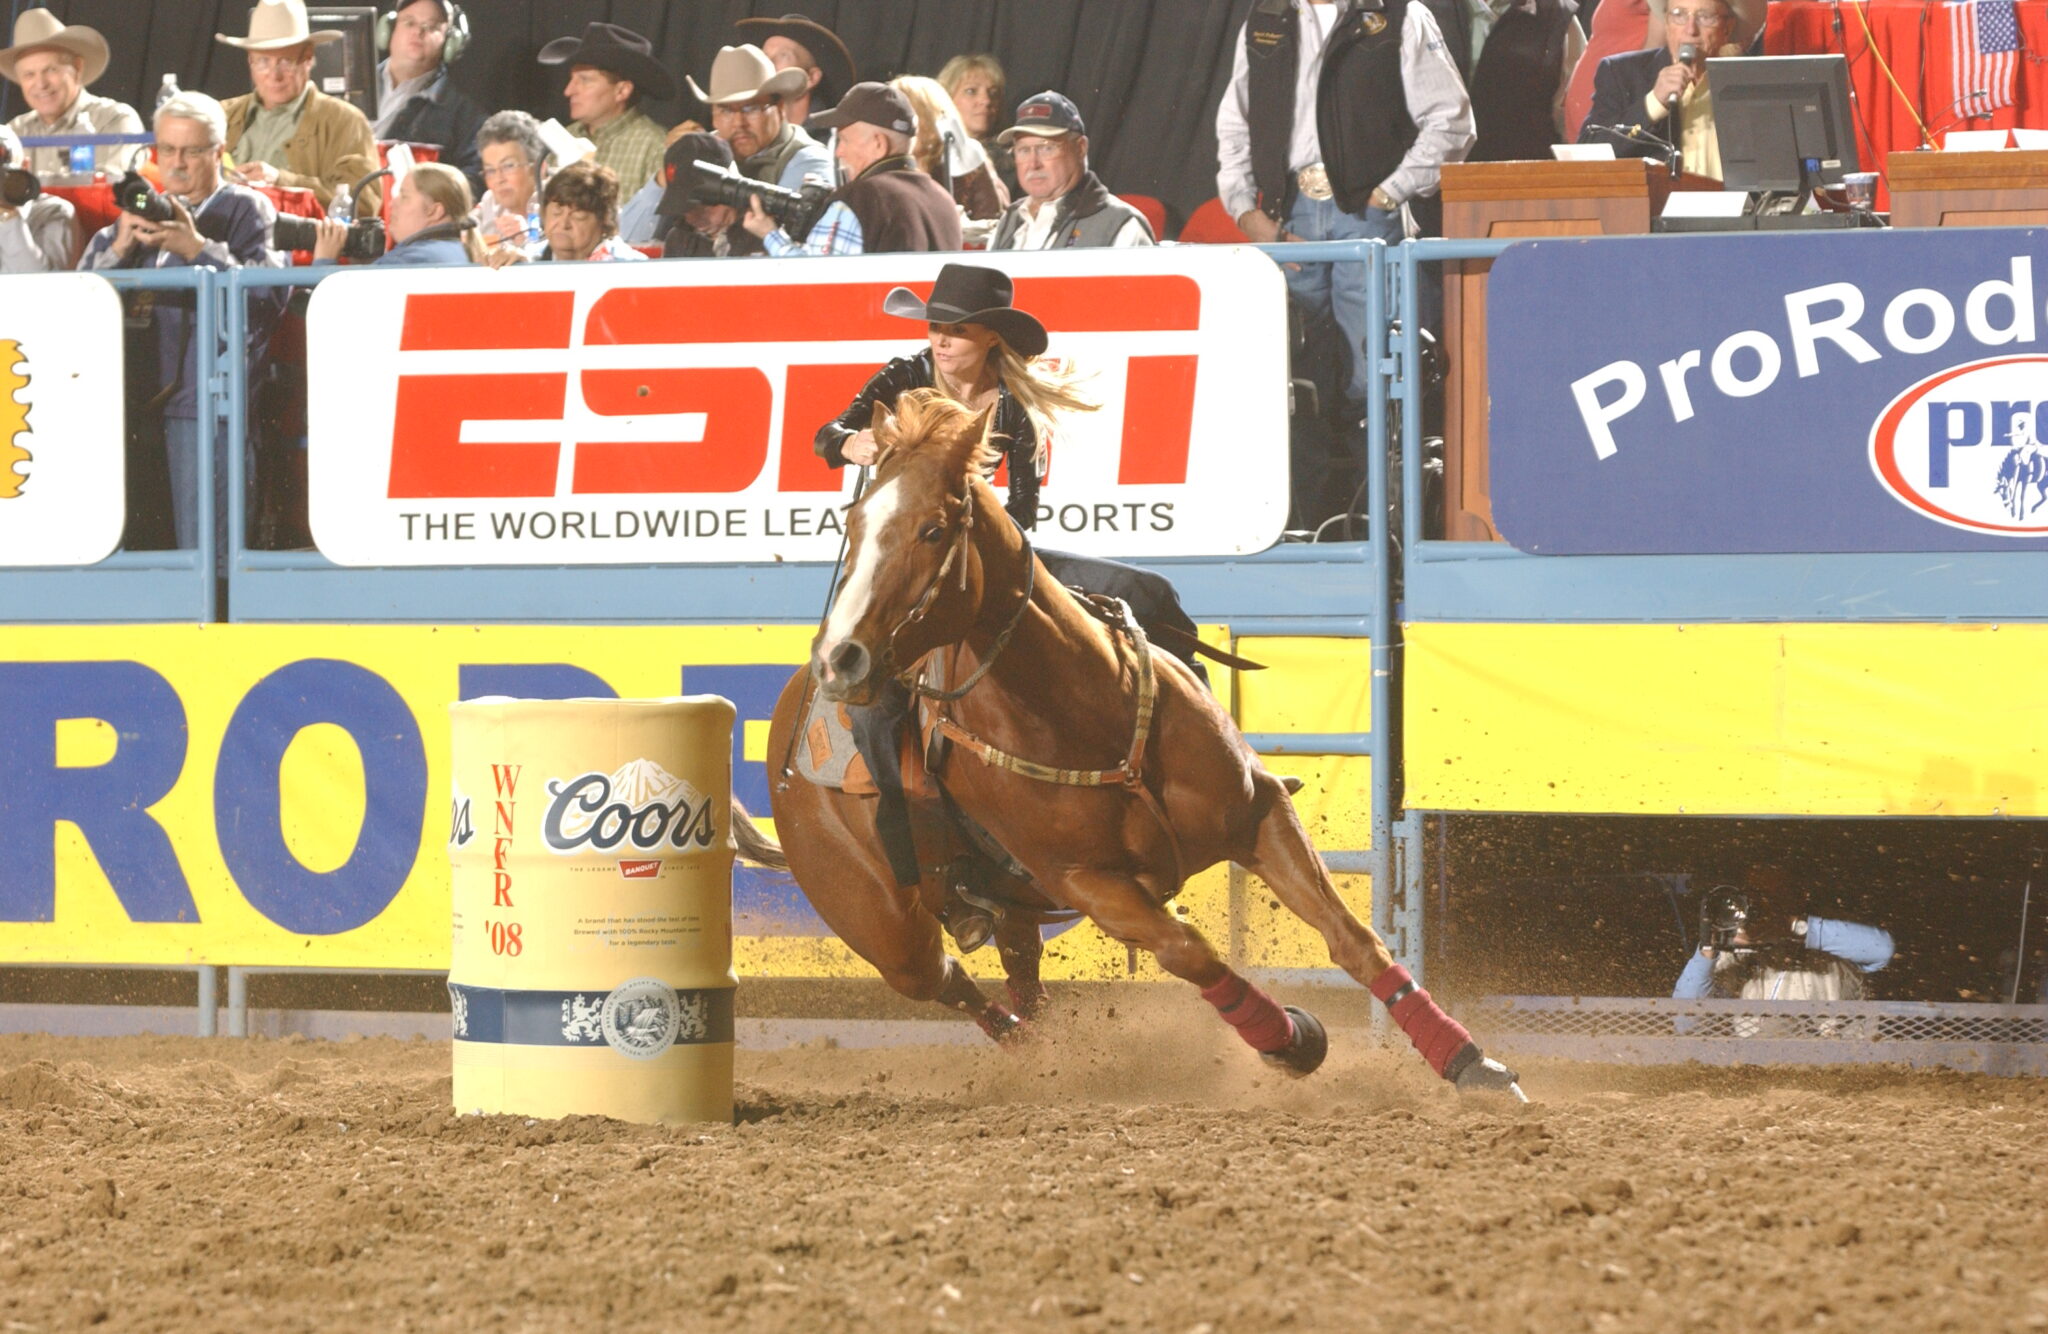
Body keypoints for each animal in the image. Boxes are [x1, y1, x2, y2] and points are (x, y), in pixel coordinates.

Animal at [729, 389, 1522, 1097]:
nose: (842, 658)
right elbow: (1191, 951)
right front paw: (1294, 1039)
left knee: (1021, 981)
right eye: (856, 524)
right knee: (952, 981)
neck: (1081, 714)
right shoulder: (1093, 886)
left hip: (1011, 908)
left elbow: (1352, 938)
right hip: (885, 932)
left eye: (930, 529)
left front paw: (1468, 1063)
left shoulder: (1261, 814)